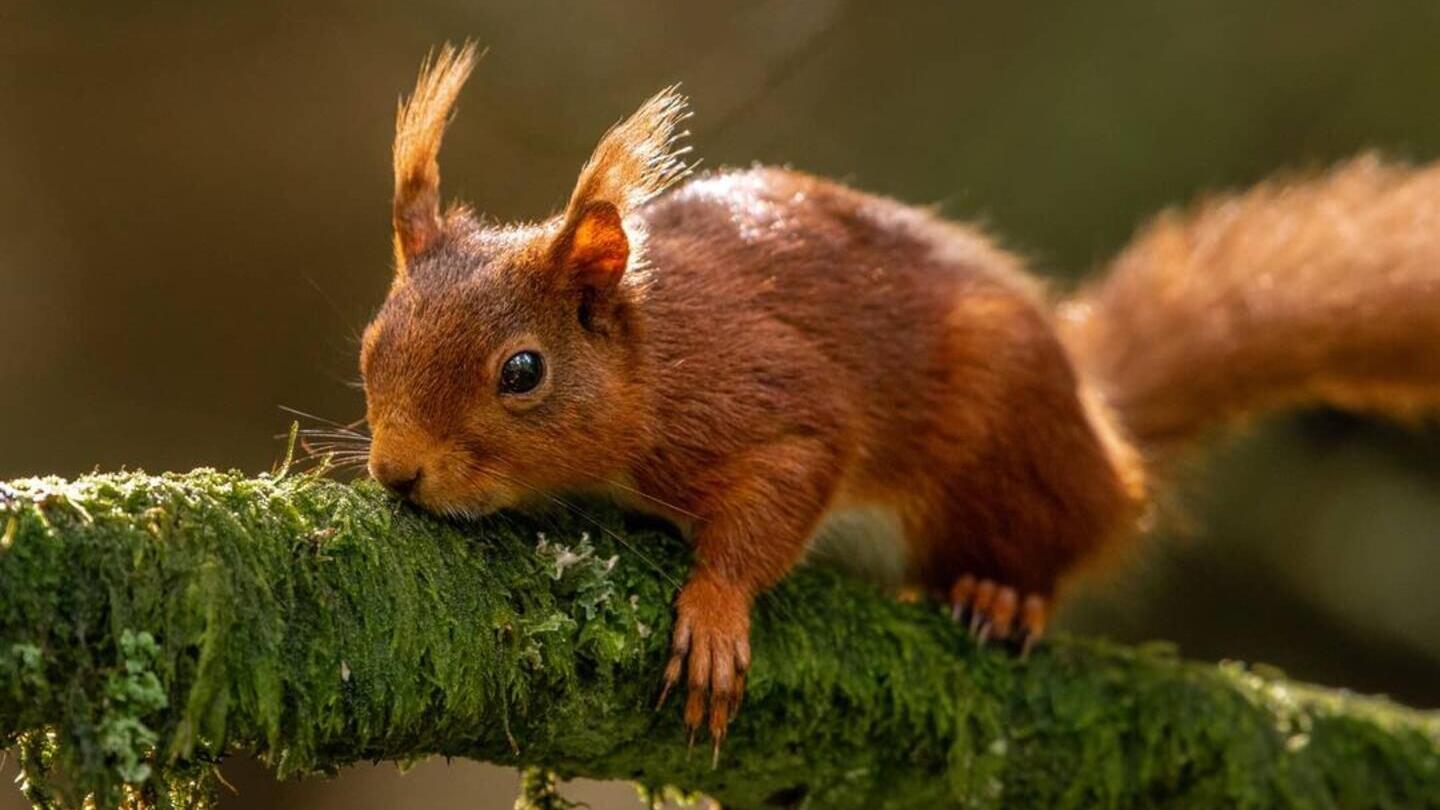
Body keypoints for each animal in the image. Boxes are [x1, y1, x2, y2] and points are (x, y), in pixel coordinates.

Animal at [359, 44, 1440, 748]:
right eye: (371, 341)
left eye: (523, 372)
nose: (397, 473)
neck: (655, 355)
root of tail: (1107, 434)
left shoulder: (765, 399)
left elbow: (787, 490)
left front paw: (714, 612)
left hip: (1013, 454)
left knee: (1052, 544)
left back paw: (1001, 593)